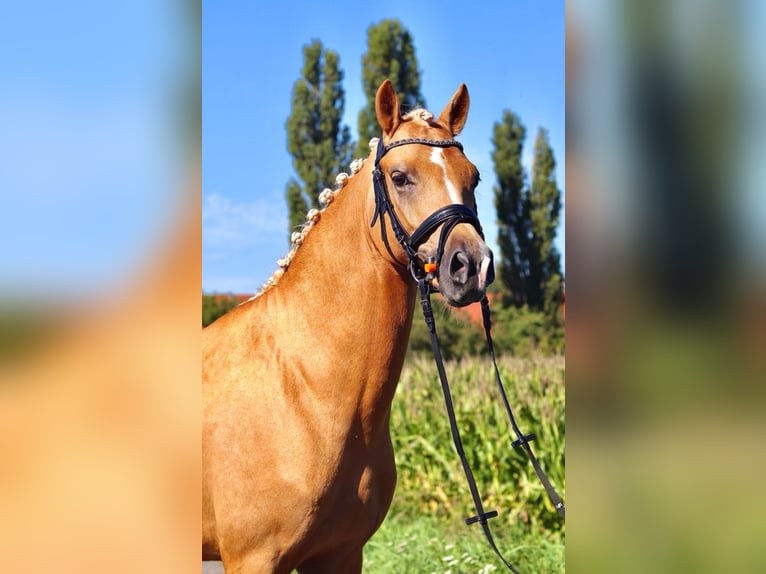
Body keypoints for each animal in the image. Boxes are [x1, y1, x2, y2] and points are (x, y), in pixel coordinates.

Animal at [201, 79, 496, 572]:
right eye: (400, 177)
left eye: (472, 177)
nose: (471, 266)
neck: (302, 390)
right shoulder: (253, 558)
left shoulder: (340, 552)